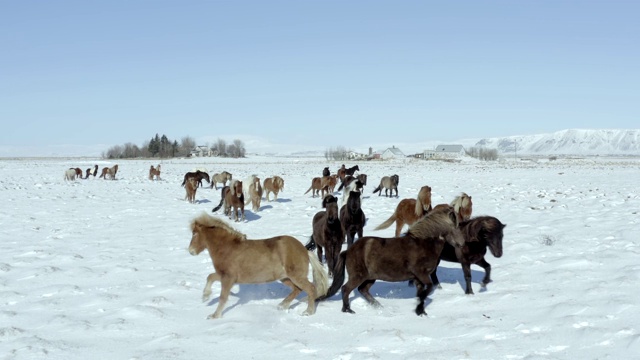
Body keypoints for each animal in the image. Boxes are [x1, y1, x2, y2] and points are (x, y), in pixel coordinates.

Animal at [188, 212, 330, 320]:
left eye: (194, 233)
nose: (190, 251)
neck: (228, 248)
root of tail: (304, 250)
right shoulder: (225, 276)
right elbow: (210, 277)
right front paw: (205, 297)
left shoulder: (228, 278)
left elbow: (223, 297)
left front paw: (214, 315)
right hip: (285, 277)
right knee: (297, 290)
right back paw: (282, 306)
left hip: (296, 276)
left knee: (311, 288)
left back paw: (308, 312)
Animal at [316, 204, 462, 316]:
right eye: (456, 227)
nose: (461, 244)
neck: (423, 243)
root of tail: (348, 251)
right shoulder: (421, 273)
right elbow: (429, 288)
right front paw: (420, 309)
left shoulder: (417, 278)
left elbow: (422, 293)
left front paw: (420, 311)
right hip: (358, 276)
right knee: (346, 289)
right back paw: (347, 310)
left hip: (370, 277)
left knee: (363, 290)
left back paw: (378, 306)